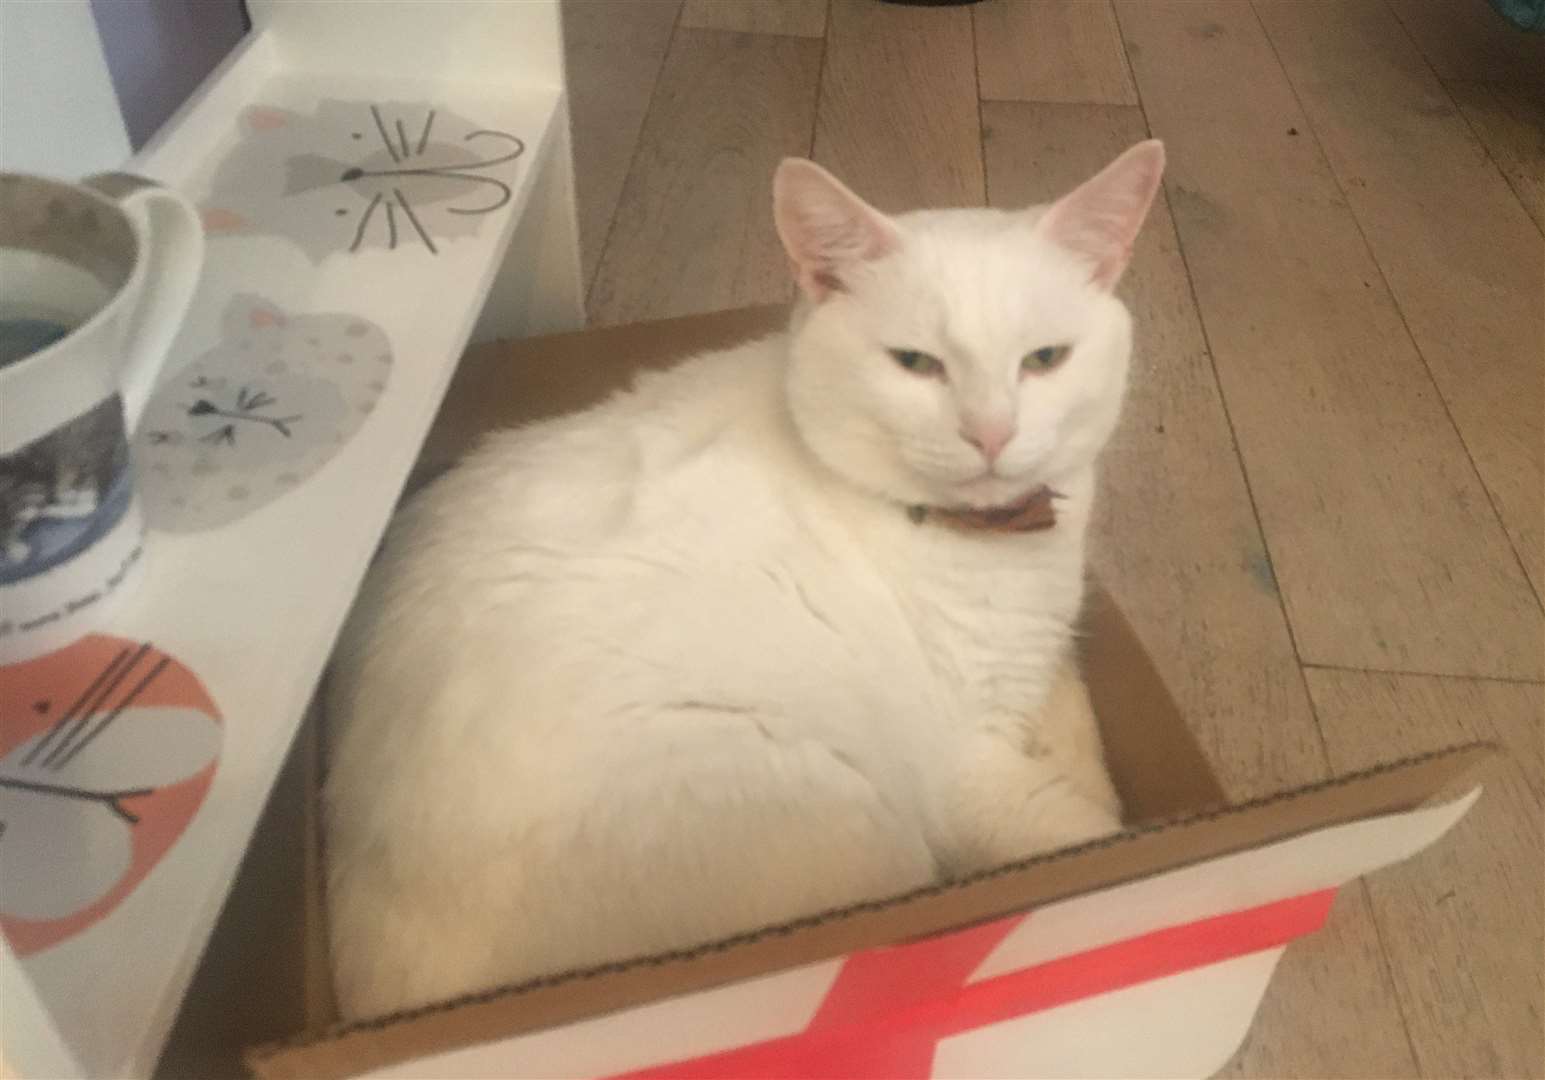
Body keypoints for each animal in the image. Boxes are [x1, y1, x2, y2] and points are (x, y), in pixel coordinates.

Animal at [329, 141, 1168, 1019]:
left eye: (1044, 359)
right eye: (914, 363)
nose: (991, 431)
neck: (986, 541)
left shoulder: (1039, 669)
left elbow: (1072, 717)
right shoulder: (966, 774)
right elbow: (1081, 829)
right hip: (838, 805)